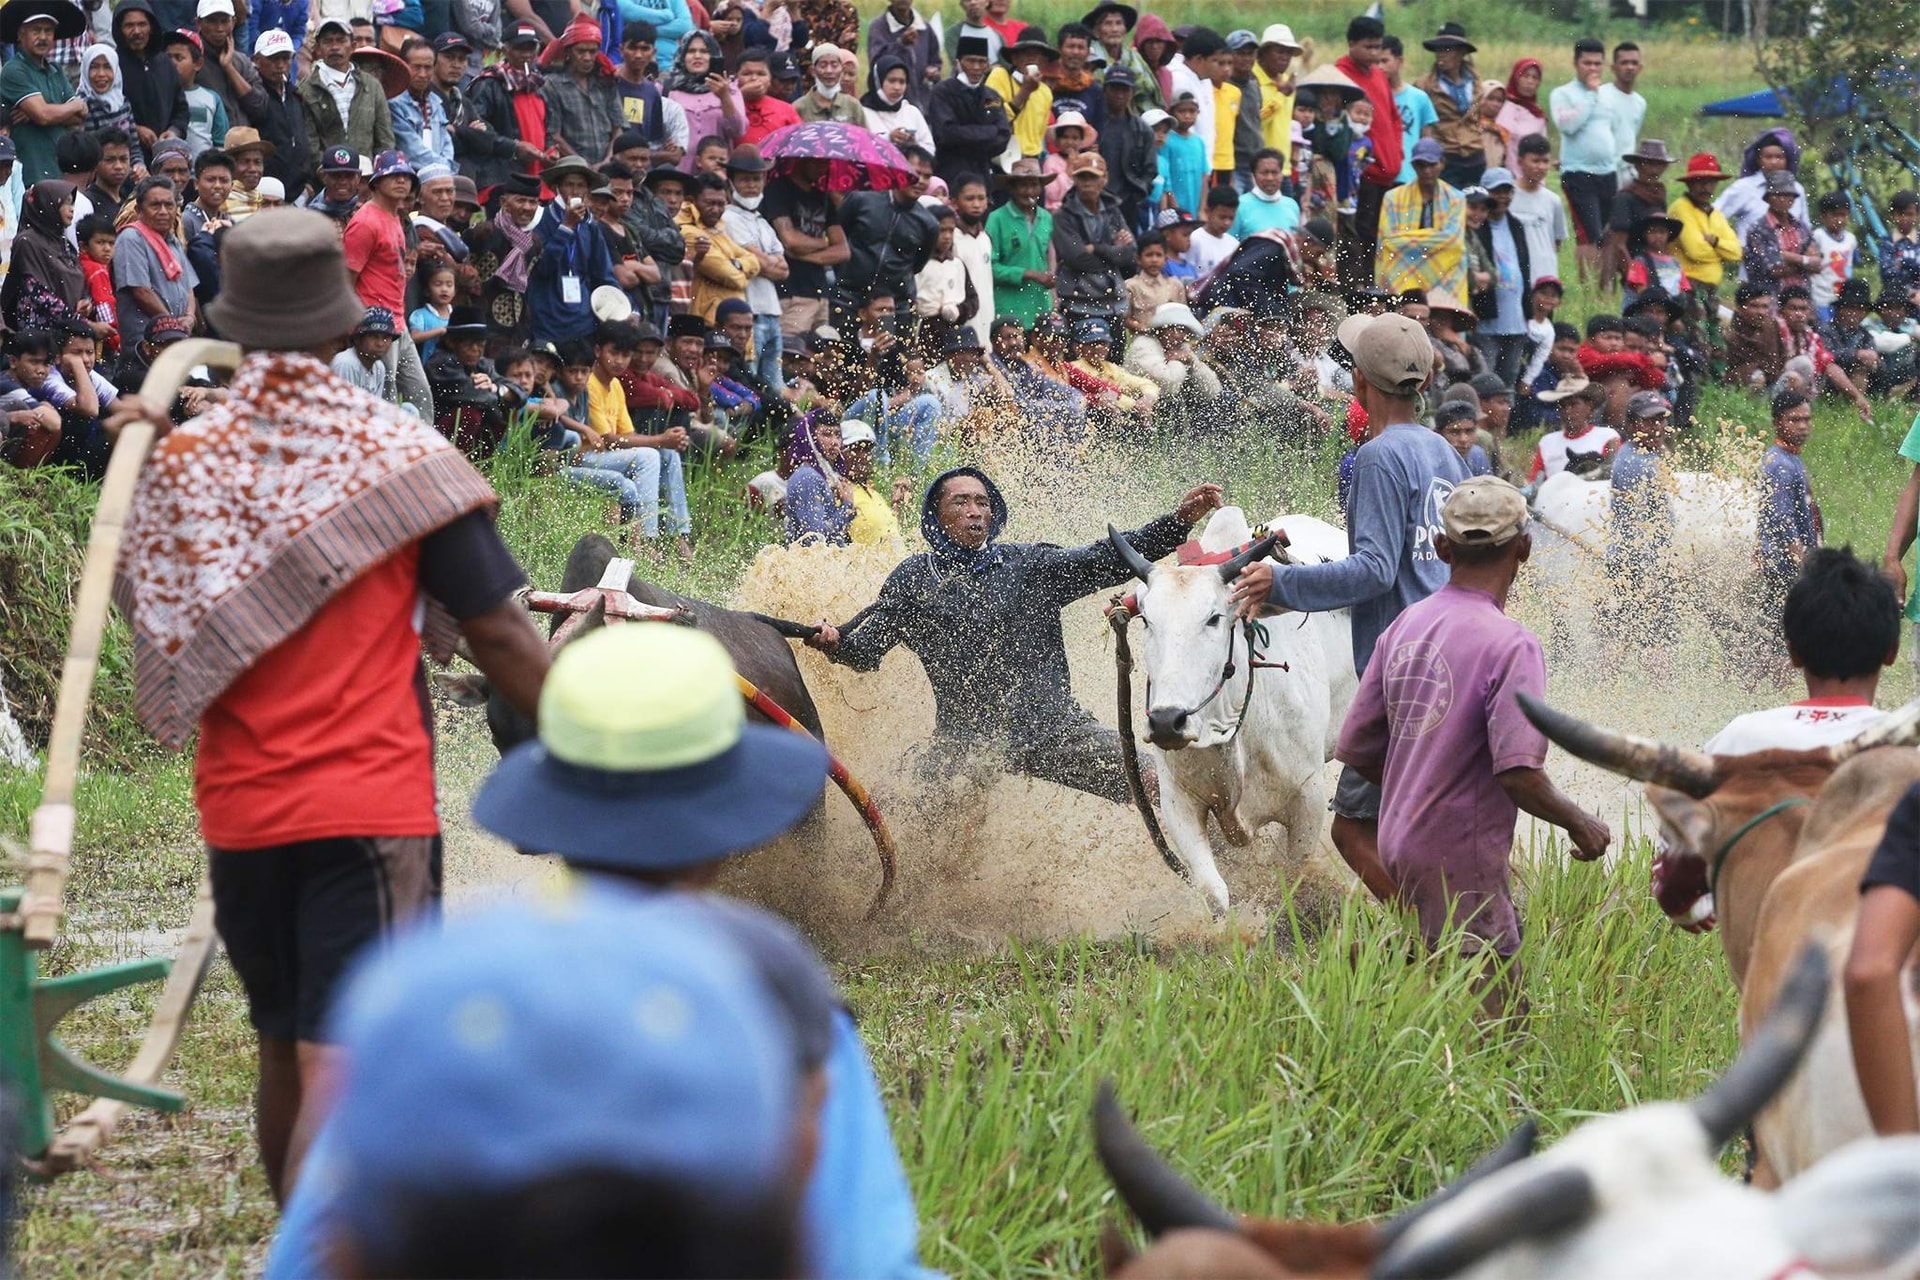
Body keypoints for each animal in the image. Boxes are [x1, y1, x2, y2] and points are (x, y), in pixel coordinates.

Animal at [1105, 506, 1359, 917]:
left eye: (1214, 617)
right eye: (1147, 620)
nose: (1166, 722)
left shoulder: (1307, 799)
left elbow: (1293, 879)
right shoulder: (1178, 801)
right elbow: (1215, 893)